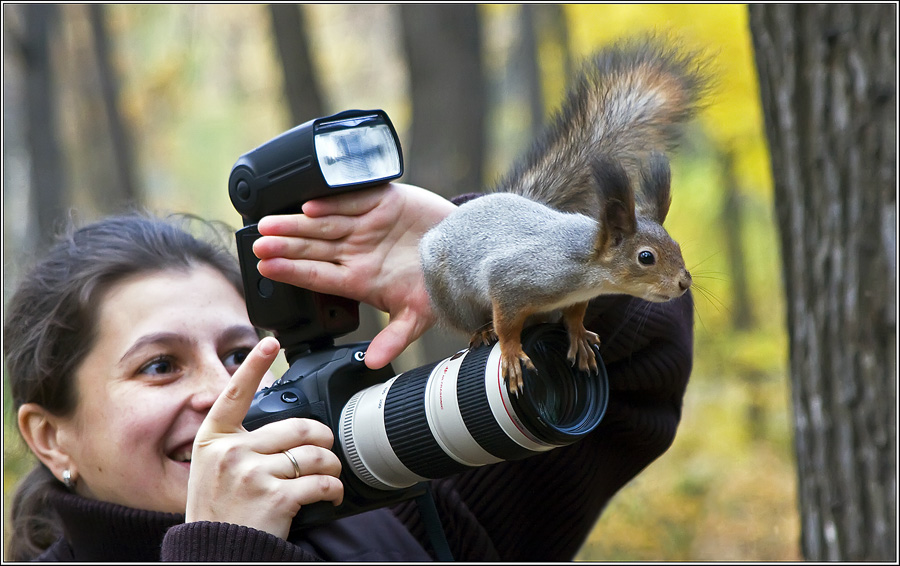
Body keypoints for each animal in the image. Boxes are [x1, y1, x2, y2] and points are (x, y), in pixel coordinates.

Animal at [418, 37, 708, 398]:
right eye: (645, 257)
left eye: (677, 245)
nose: (684, 282)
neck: (587, 268)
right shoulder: (513, 278)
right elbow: (506, 322)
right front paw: (511, 351)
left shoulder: (578, 298)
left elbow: (574, 316)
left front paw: (579, 334)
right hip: (447, 293)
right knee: (471, 320)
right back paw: (481, 332)